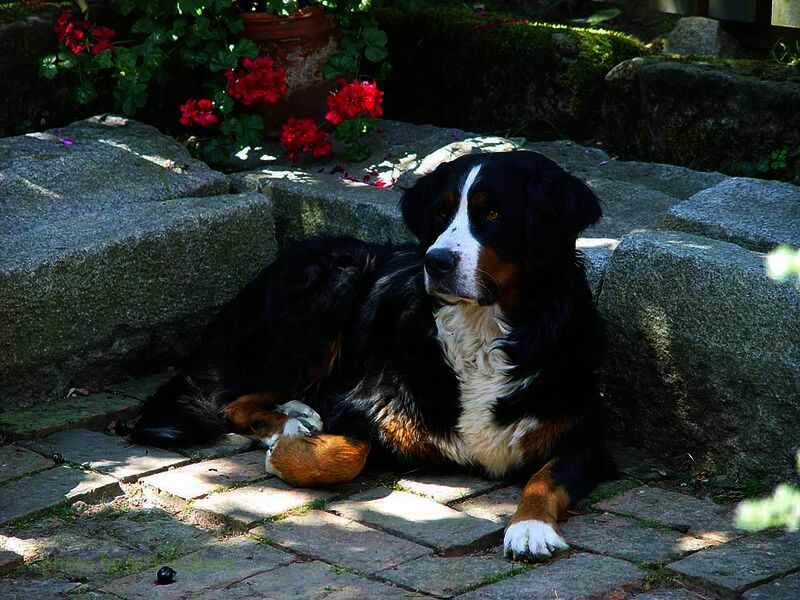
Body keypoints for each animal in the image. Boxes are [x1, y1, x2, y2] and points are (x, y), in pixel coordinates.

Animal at [123, 150, 614, 560]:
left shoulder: (583, 434)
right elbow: (345, 454)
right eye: (441, 213)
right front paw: (285, 452)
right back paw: (290, 422)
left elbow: (544, 480)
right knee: (230, 398)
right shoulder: (365, 401)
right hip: (329, 293)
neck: (483, 332)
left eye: (494, 213)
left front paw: (530, 528)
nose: (436, 261)